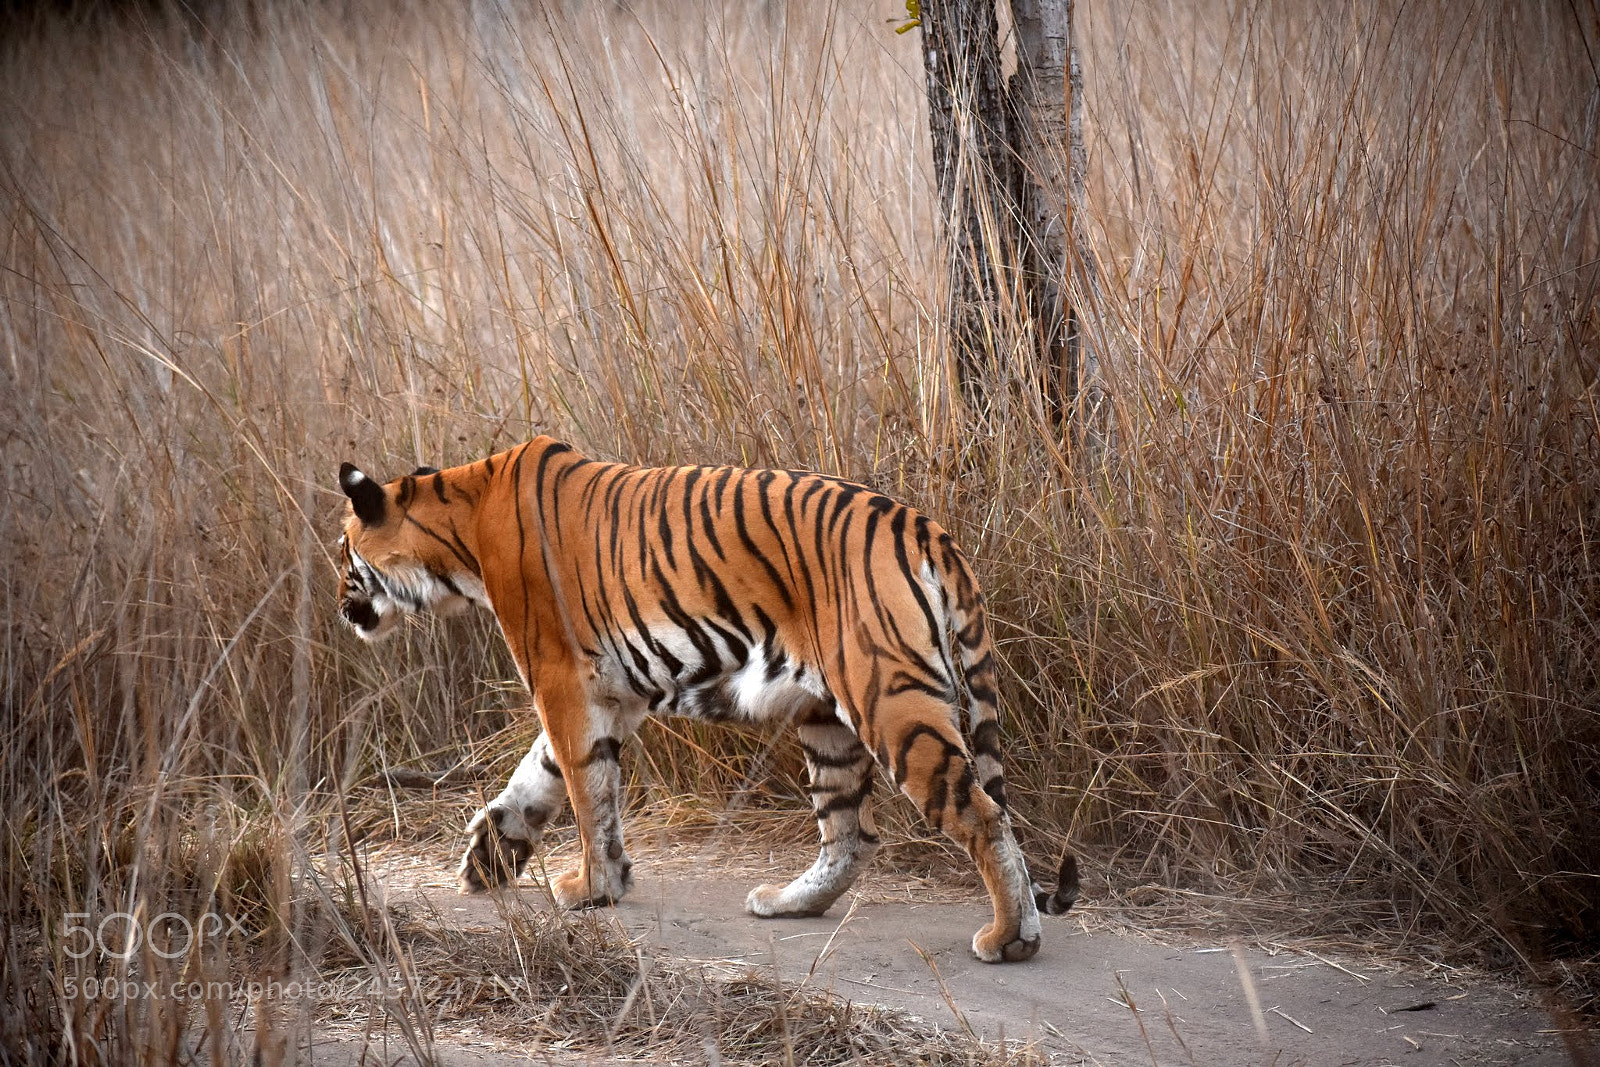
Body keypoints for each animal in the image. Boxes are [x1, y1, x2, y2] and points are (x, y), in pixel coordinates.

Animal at [336, 435, 1077, 962]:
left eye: (345, 554)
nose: (342, 607)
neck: (458, 529)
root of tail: (924, 525)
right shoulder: (613, 691)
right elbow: (544, 773)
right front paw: (493, 858)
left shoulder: (561, 678)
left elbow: (584, 789)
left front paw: (589, 887)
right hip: (827, 717)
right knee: (851, 832)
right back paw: (787, 903)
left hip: (890, 699)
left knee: (981, 813)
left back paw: (1011, 938)